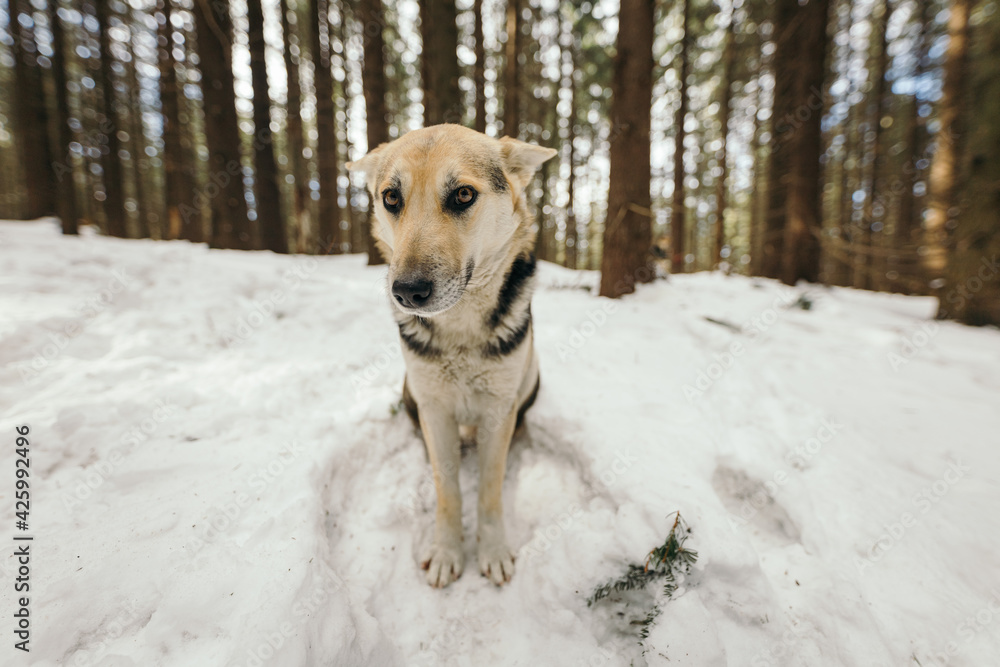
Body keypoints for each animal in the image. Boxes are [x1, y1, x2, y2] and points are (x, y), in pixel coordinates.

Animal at [350, 122, 556, 588]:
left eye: (462, 194)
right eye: (392, 198)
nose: (407, 291)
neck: (460, 330)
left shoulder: (498, 409)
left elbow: (489, 491)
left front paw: (492, 551)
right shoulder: (435, 408)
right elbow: (449, 491)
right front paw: (447, 551)